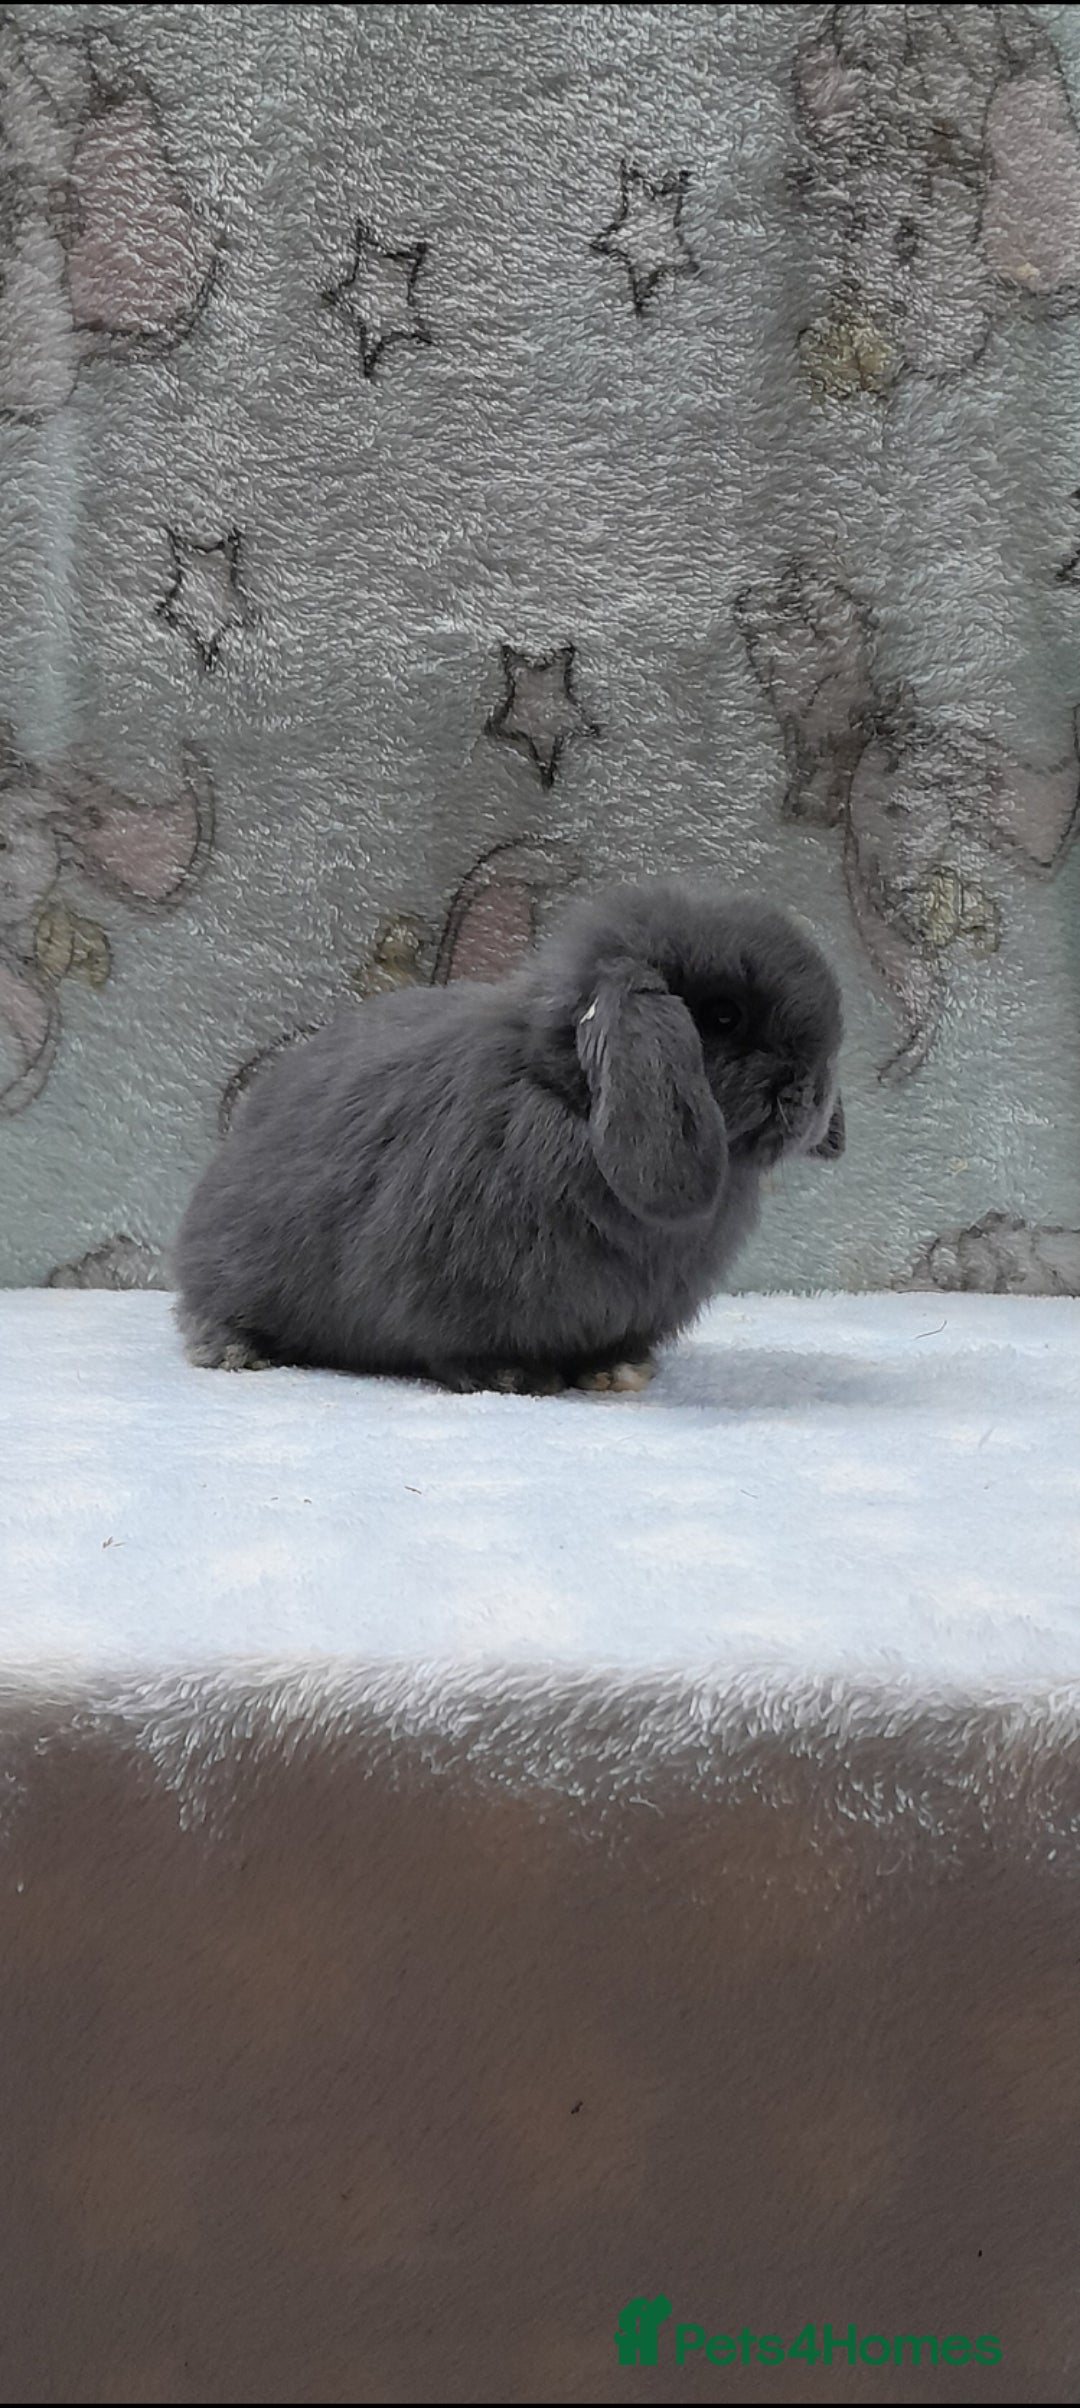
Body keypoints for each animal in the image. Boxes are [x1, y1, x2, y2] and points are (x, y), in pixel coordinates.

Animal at [174, 879, 844, 1393]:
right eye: (724, 1016)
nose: (811, 1096)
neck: (565, 1095)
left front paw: (618, 1373)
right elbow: (465, 1349)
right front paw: (518, 1377)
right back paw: (234, 1352)